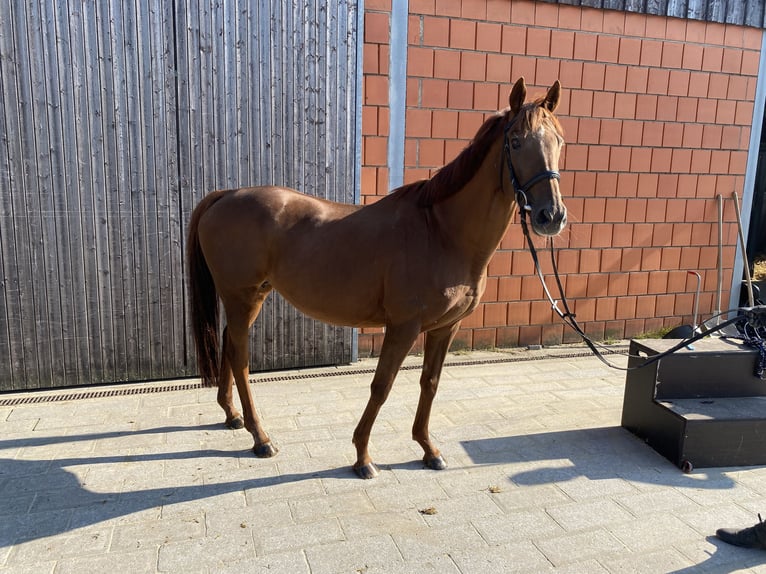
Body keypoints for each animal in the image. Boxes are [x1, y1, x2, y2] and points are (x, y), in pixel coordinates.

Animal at [189, 79, 568, 480]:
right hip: (241, 296)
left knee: (228, 344)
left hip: (254, 296)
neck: (442, 232)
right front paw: (363, 457)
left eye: (559, 141)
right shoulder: (403, 326)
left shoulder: (444, 328)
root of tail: (226, 195)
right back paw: (260, 438)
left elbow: (430, 384)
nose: (552, 216)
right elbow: (382, 386)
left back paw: (233, 416)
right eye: (516, 142)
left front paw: (428, 449)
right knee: (240, 356)